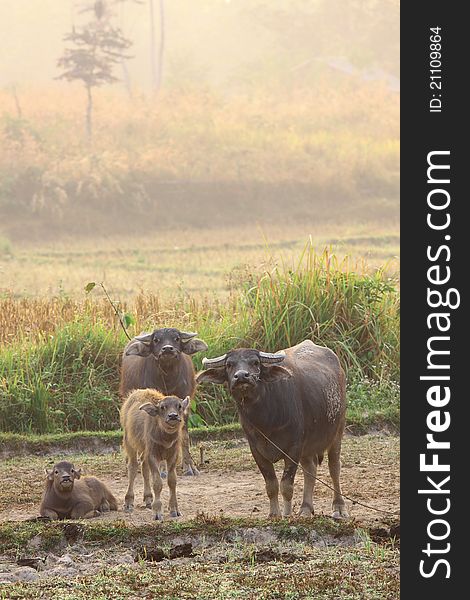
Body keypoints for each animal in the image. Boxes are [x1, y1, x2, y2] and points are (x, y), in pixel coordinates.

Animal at [119, 326, 207, 476]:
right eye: (156, 340)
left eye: (176, 338)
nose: (167, 349)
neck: (168, 380)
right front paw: (161, 468)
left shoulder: (184, 406)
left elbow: (184, 436)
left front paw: (189, 466)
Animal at [121, 390, 191, 520]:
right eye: (163, 407)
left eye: (179, 406)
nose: (173, 416)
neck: (165, 438)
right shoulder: (153, 456)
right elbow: (157, 483)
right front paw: (157, 511)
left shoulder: (173, 456)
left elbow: (172, 481)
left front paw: (174, 509)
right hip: (129, 442)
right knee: (132, 468)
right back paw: (128, 502)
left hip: (144, 450)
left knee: (144, 467)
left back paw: (148, 499)